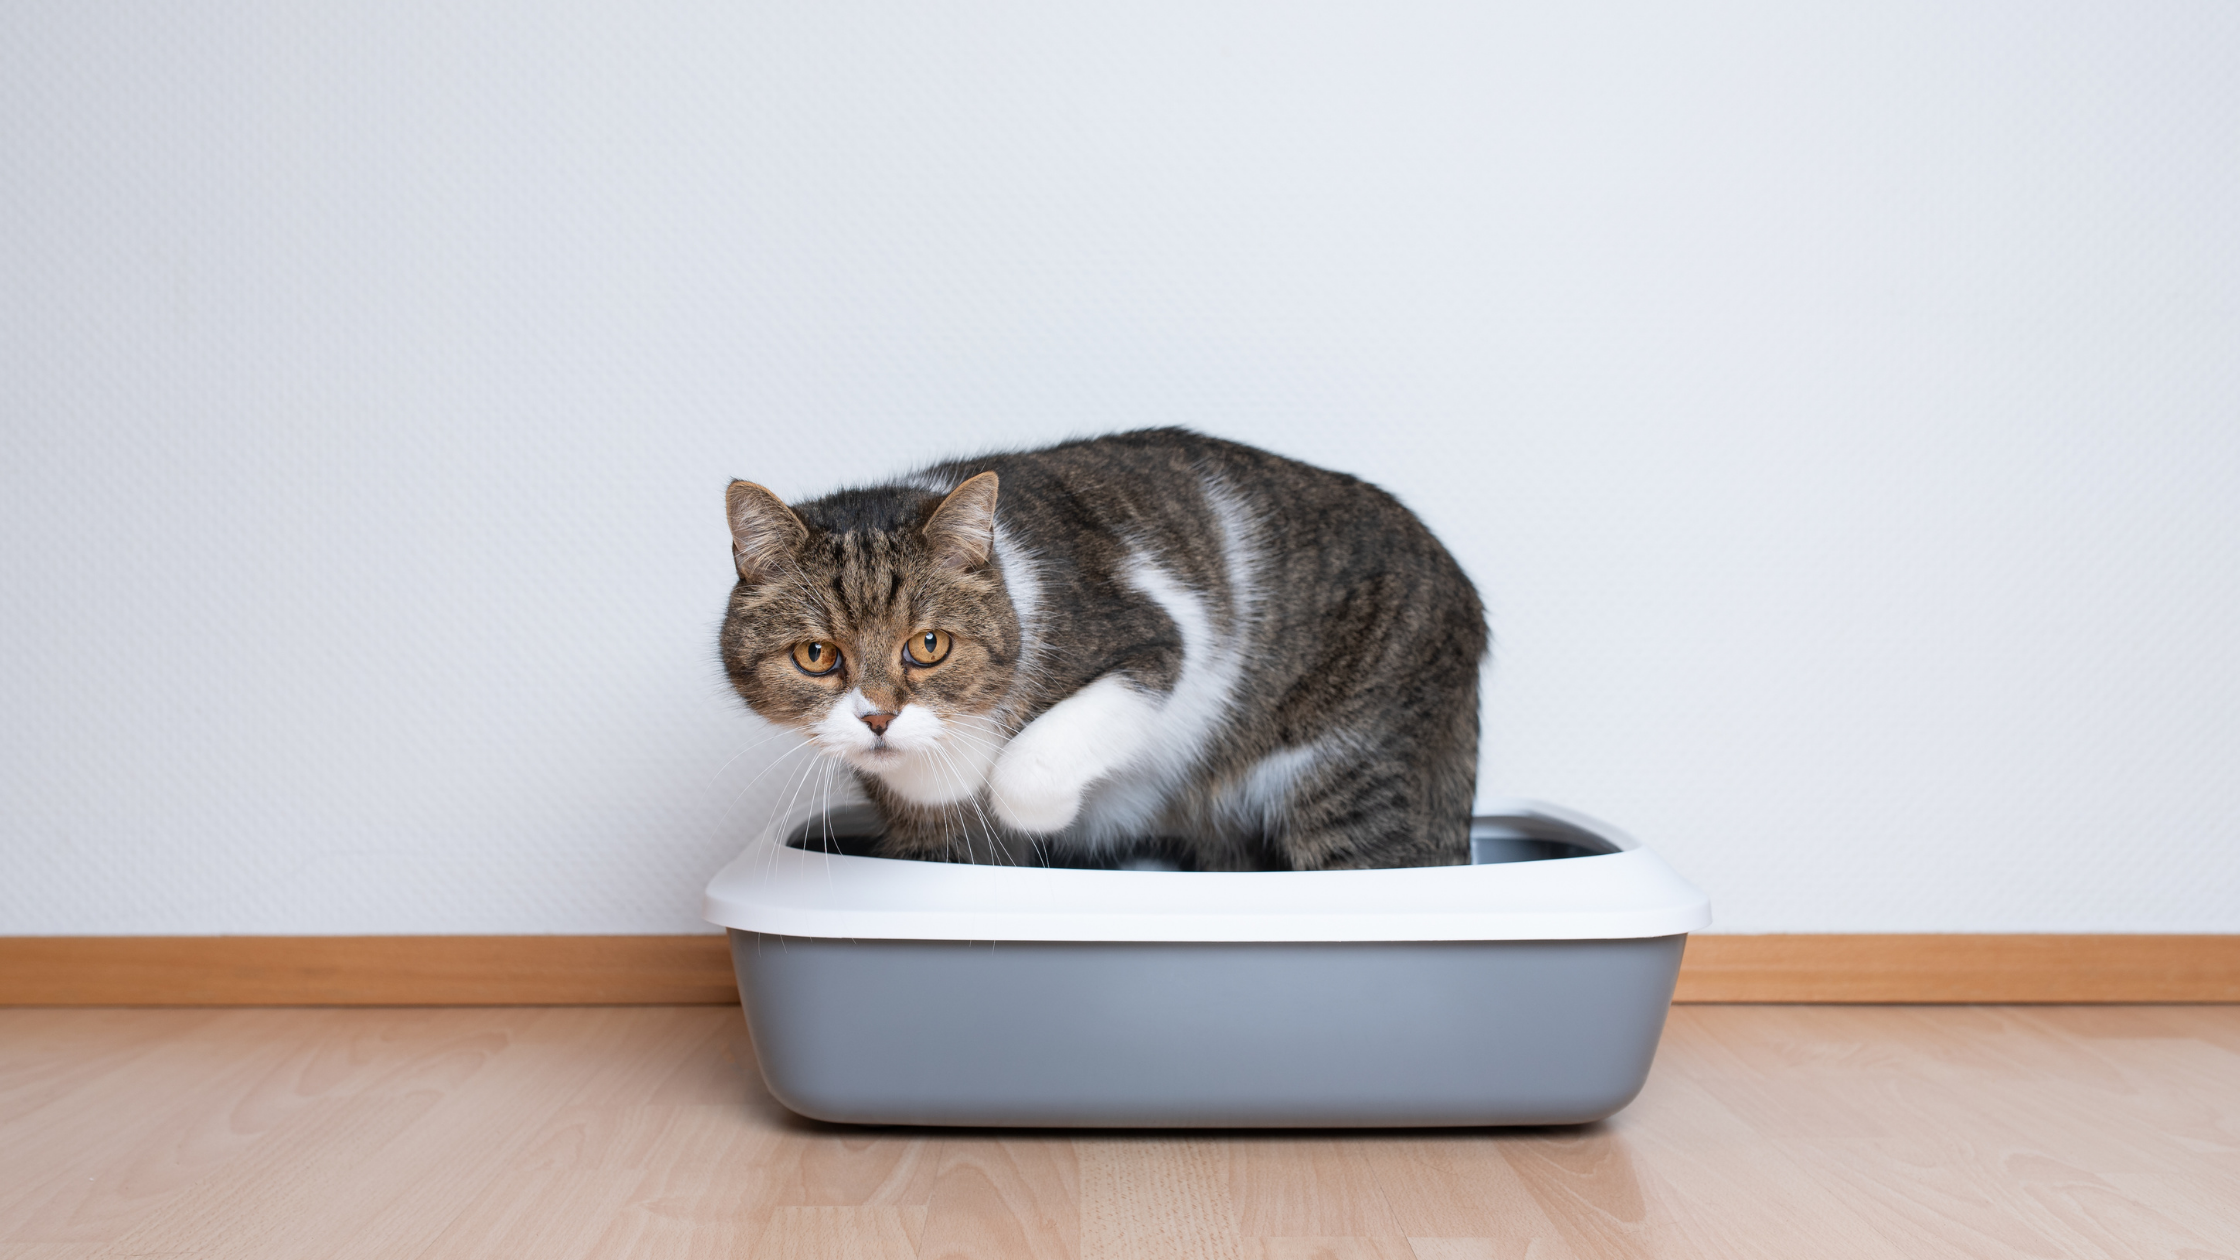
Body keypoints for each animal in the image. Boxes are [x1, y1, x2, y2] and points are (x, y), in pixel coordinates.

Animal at [721, 425, 1487, 869]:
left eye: (929, 645)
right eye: (816, 656)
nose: (878, 718)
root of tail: (1468, 593)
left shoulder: (1160, 638)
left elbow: (1025, 772)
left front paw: (1044, 812)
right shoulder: (928, 838)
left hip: (1356, 771)